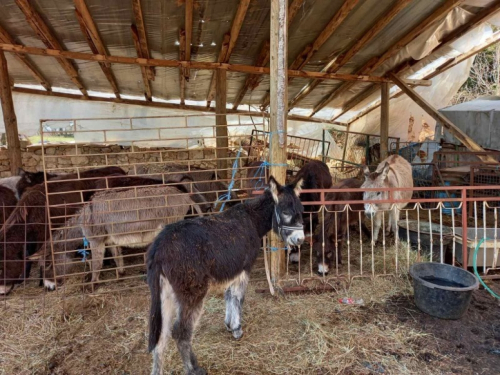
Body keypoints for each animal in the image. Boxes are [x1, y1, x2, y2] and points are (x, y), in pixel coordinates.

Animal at [147, 177, 304, 375]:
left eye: (302, 211)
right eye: (285, 212)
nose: (300, 240)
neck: (252, 220)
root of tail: (159, 247)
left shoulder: (233, 270)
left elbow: (229, 296)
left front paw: (229, 325)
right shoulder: (244, 269)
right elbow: (238, 298)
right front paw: (237, 329)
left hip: (165, 292)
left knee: (161, 336)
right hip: (192, 292)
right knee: (181, 332)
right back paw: (193, 369)